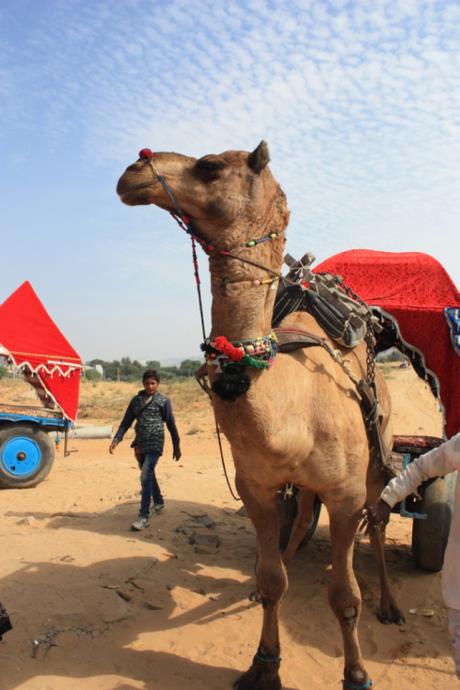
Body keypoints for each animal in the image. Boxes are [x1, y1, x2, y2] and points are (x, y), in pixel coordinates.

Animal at [116, 141, 402, 690]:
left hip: (380, 453)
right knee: (301, 519)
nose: (133, 170)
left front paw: (356, 673)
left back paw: (391, 605)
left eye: (209, 166)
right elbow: (272, 580)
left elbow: (344, 596)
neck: (288, 409)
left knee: (377, 519)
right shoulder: (257, 486)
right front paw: (263, 665)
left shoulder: (346, 492)